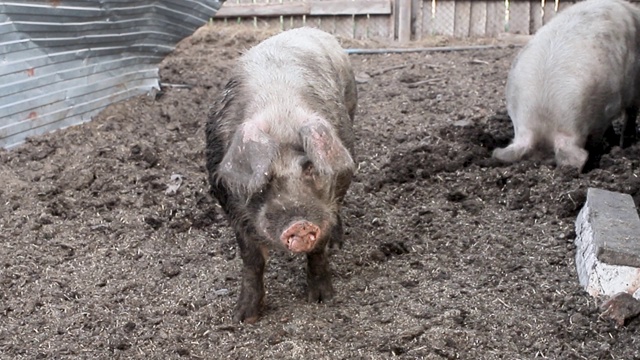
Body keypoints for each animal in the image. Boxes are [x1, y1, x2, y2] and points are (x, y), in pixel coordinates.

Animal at [204, 26, 358, 322]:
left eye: (310, 167)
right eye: (266, 177)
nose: (300, 224)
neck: (280, 116)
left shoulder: (328, 203)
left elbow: (318, 251)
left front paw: (322, 300)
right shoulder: (227, 200)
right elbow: (252, 259)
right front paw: (243, 318)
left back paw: (338, 244)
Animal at [492, 0, 640, 172]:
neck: (545, 109)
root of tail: (629, 7)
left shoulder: (606, 109)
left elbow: (597, 137)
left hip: (635, 86)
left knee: (631, 113)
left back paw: (624, 144)